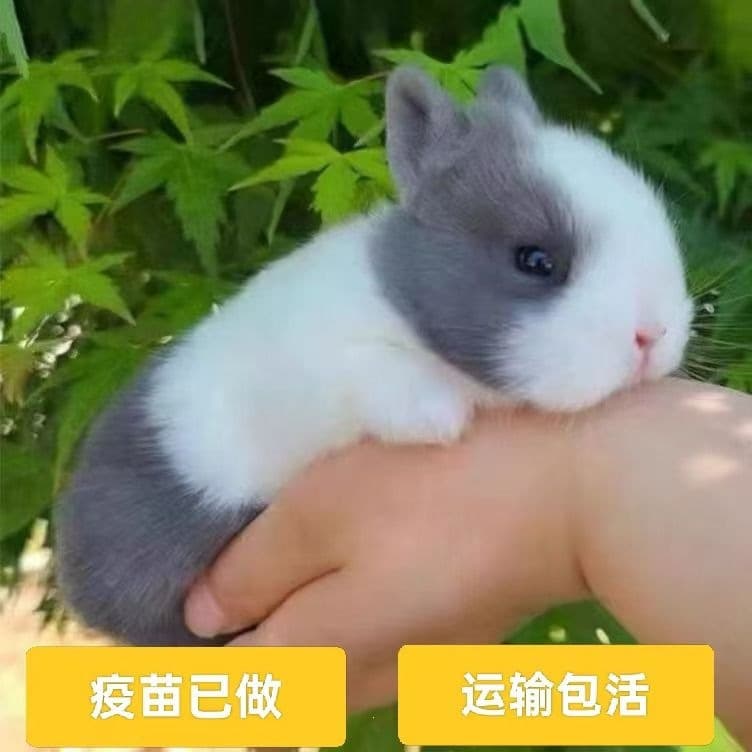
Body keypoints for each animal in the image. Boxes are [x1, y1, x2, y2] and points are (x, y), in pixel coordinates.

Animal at [54, 65, 693, 646]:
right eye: (535, 261)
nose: (652, 334)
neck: (399, 302)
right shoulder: (324, 368)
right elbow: (371, 373)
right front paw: (439, 419)